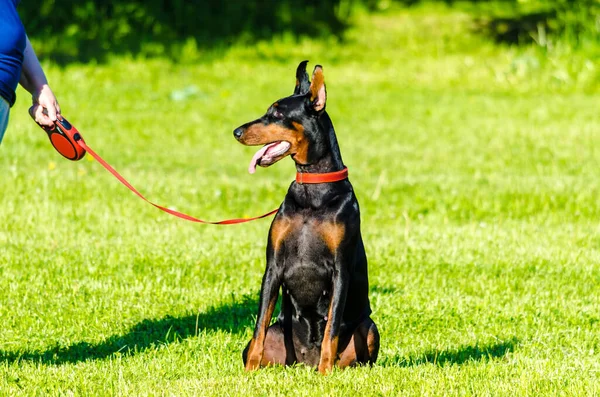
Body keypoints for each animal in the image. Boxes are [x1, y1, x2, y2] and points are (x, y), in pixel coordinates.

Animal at [234, 60, 380, 372]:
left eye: (277, 113)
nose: (237, 132)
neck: (312, 192)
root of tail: (304, 362)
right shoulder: (273, 265)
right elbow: (259, 326)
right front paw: (248, 373)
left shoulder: (340, 270)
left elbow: (331, 331)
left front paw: (325, 375)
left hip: (369, 327)